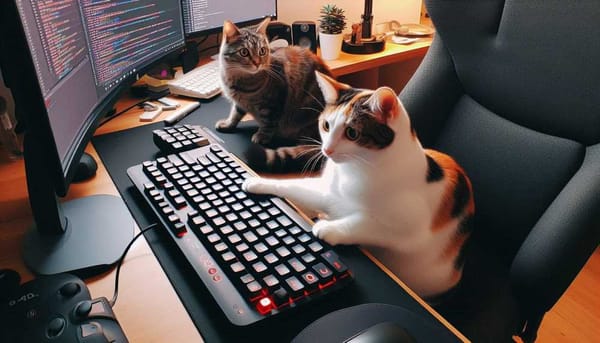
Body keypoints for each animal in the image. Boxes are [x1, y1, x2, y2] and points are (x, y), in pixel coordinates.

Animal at [217, 17, 332, 172]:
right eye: (244, 52)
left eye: (262, 51)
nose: (257, 63)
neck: (239, 79)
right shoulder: (239, 103)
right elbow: (235, 114)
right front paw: (228, 124)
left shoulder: (272, 103)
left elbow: (268, 122)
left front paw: (262, 136)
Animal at [241, 73, 476, 300]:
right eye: (326, 125)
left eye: (352, 133)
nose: (327, 150)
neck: (356, 169)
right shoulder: (329, 192)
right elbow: (295, 186)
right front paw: (259, 182)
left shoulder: (408, 228)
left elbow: (365, 224)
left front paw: (329, 228)